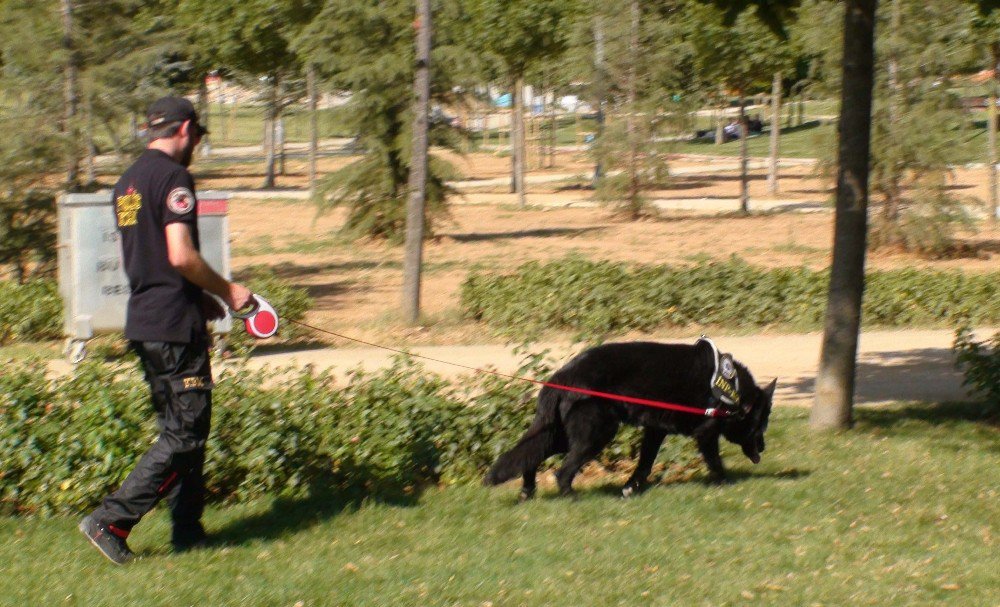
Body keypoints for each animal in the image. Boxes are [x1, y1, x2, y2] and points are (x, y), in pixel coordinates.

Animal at [482, 340, 772, 502]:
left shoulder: (655, 432)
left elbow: (644, 465)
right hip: (596, 434)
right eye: (762, 424)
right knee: (561, 471)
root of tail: (562, 376)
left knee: (529, 456)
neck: (734, 391)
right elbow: (715, 462)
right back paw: (571, 497)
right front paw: (725, 483)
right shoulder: (706, 434)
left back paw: (528, 491)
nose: (764, 448)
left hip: (563, 436)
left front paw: (630, 489)